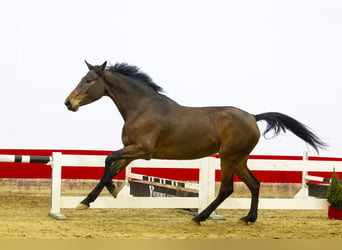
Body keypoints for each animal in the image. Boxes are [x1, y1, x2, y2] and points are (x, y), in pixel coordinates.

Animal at [65, 61, 326, 226]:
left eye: (89, 80)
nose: (69, 103)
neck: (141, 108)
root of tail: (253, 117)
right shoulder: (131, 152)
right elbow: (111, 167)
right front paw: (87, 201)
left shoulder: (142, 150)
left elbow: (108, 158)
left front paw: (102, 194)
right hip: (239, 159)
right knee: (254, 184)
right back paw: (248, 219)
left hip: (228, 157)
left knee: (227, 189)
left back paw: (200, 217)